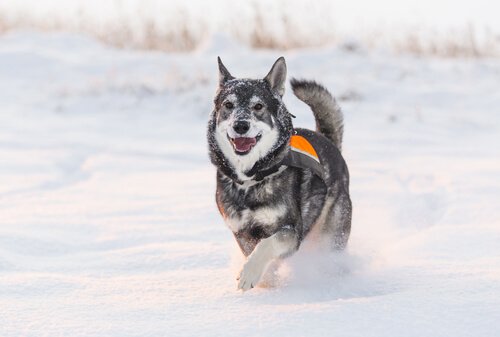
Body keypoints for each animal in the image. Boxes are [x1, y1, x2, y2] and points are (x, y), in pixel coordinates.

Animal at [207, 56, 352, 290]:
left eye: (258, 106)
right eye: (228, 105)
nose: (241, 125)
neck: (250, 180)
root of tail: (329, 142)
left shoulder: (291, 230)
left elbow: (267, 244)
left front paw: (250, 273)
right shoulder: (242, 232)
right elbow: (256, 252)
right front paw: (266, 280)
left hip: (331, 233)